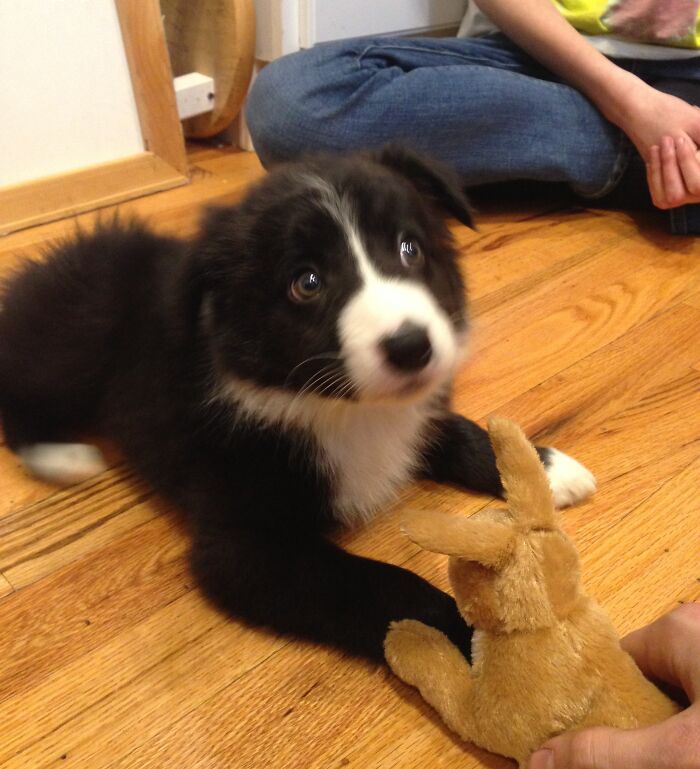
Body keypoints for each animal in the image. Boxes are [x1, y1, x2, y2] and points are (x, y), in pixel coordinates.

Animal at [0, 146, 596, 660]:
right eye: (307, 282)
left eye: (410, 249)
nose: (412, 346)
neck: (339, 406)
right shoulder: (242, 545)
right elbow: (372, 583)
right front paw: (469, 638)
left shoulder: (409, 414)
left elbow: (456, 430)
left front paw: (545, 468)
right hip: (67, 347)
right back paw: (62, 455)